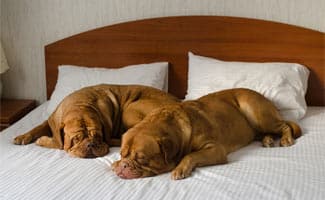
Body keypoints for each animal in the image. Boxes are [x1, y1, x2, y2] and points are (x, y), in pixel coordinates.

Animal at [13, 84, 178, 158]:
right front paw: (23, 136)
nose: (91, 144)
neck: (80, 104)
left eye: (97, 135)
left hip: (130, 109)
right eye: (76, 138)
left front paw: (43, 140)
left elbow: (58, 143)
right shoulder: (52, 121)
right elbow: (38, 127)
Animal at [112, 88, 302, 179]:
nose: (124, 165)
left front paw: (180, 168)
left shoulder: (215, 149)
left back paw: (285, 139)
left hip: (256, 112)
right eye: (122, 154)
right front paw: (115, 163)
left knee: (285, 125)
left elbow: (190, 155)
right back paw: (268, 140)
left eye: (142, 159)